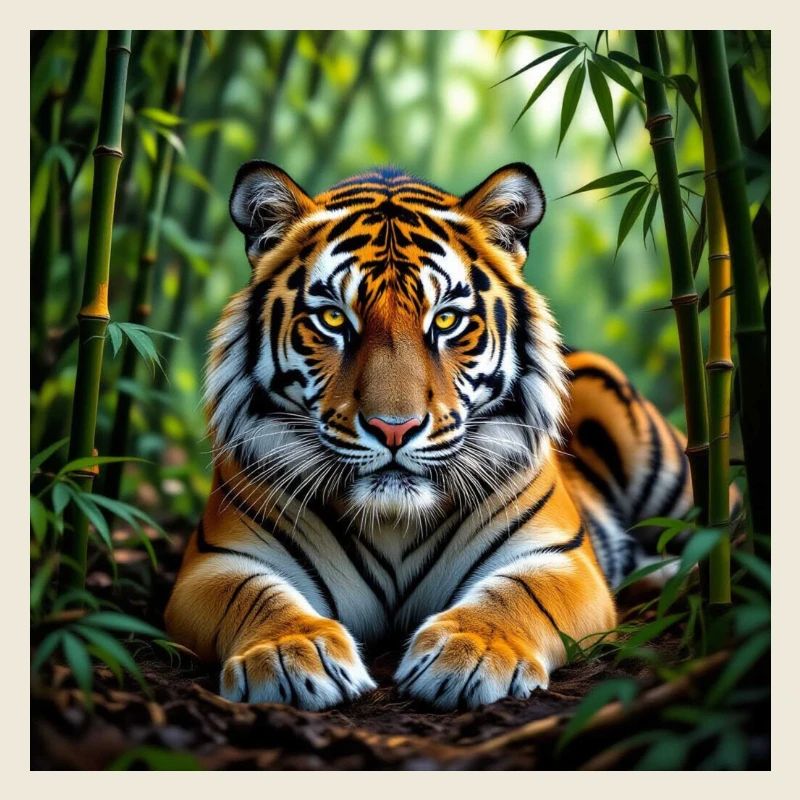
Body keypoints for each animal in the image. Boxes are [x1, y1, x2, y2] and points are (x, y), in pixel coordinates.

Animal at [165, 161, 694, 711]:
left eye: (446, 319)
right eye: (333, 318)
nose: (393, 428)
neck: (393, 522)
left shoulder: (559, 558)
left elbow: (517, 595)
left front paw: (473, 653)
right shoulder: (218, 562)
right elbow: (255, 596)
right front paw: (290, 653)